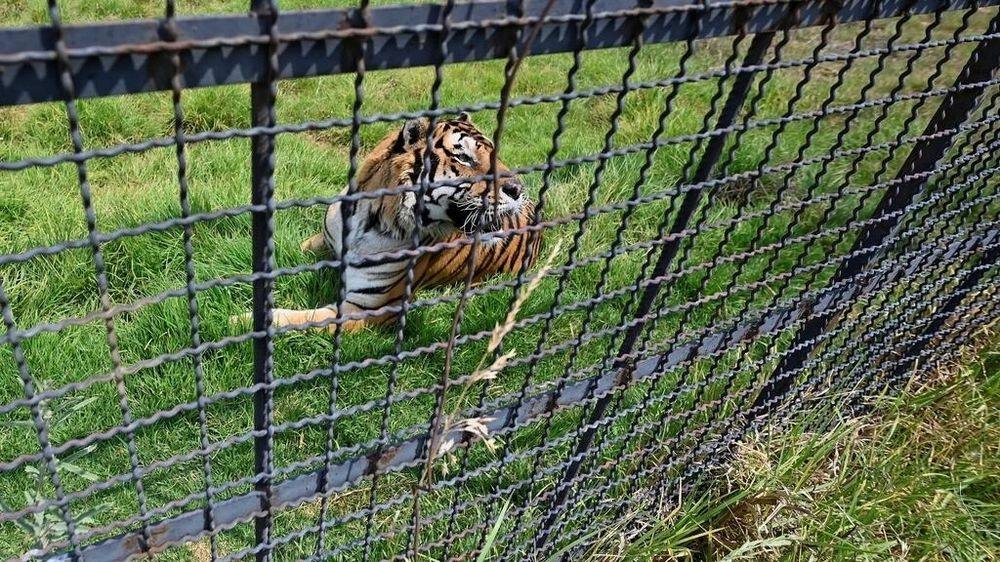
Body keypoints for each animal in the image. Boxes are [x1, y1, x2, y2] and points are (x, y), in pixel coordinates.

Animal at [250, 113, 548, 330]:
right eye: (463, 157)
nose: (517, 189)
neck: (366, 219)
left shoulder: (366, 309)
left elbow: (299, 319)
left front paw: (240, 322)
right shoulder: (322, 240)